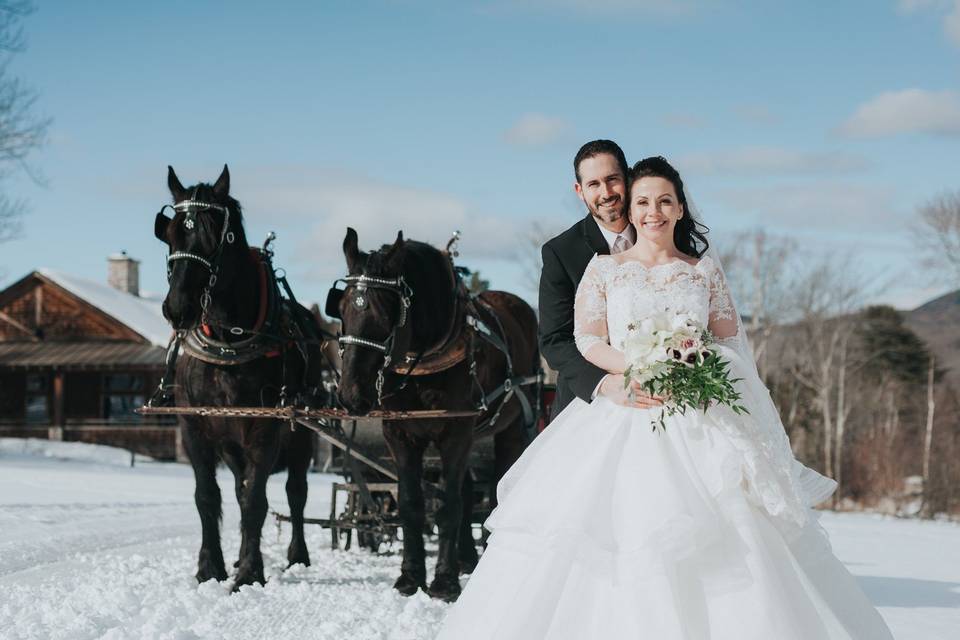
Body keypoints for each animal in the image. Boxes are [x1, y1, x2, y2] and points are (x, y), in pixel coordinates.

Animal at [154, 164, 322, 592]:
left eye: (218, 237)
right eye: (171, 233)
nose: (177, 308)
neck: (228, 343)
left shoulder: (264, 429)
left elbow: (255, 500)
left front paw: (249, 571)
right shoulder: (194, 428)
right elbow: (208, 497)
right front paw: (210, 566)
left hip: (302, 436)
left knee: (296, 492)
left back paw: (297, 555)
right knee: (238, 484)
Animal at [330, 228, 540, 604]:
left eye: (385, 313)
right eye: (341, 309)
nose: (351, 395)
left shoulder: (455, 432)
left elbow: (448, 506)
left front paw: (444, 582)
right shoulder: (400, 435)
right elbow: (413, 504)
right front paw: (411, 577)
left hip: (511, 427)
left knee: (497, 484)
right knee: (469, 492)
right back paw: (466, 558)